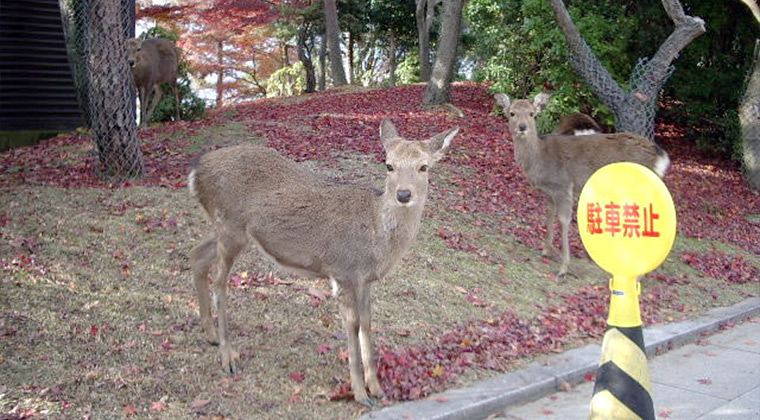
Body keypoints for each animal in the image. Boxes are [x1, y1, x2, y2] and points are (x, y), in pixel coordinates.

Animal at [188, 120, 460, 406]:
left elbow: (367, 324)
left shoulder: (366, 280)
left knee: (197, 256)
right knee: (219, 284)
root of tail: (196, 172)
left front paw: (376, 388)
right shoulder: (343, 271)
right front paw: (360, 393)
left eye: (424, 166)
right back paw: (228, 357)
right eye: (389, 165)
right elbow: (352, 325)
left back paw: (211, 336)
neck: (378, 238)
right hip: (230, 225)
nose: (404, 194)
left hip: (230, 233)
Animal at [496, 92, 668, 278]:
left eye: (531, 113)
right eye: (512, 113)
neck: (540, 159)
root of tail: (660, 157)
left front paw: (564, 267)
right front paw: (546, 251)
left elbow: (563, 220)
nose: (522, 127)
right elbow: (549, 214)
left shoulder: (564, 186)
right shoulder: (550, 192)